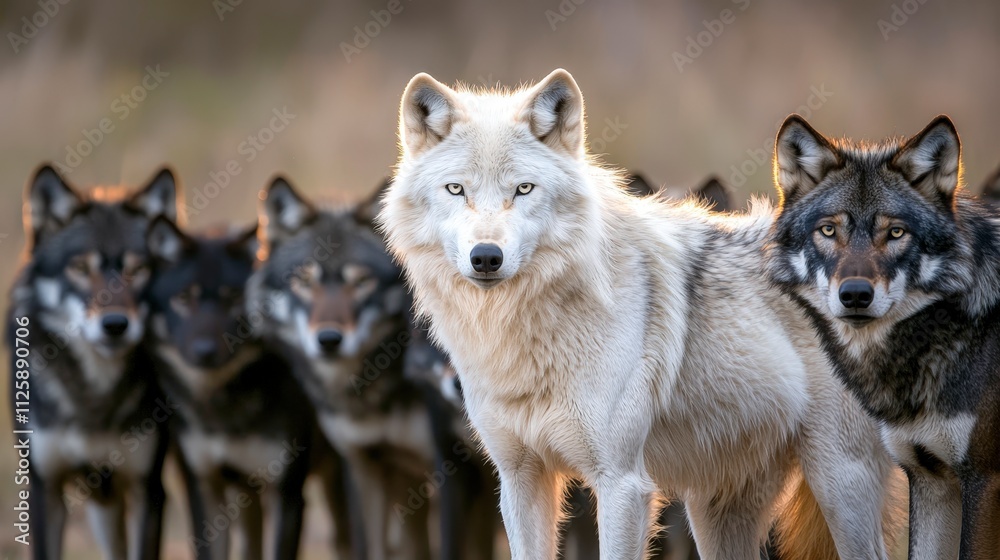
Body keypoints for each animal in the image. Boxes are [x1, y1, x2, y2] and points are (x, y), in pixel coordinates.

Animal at [7, 165, 178, 560]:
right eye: (81, 268)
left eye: (137, 269)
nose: (115, 325)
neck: (95, 398)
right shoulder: (45, 488)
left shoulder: (149, 488)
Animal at [379, 69, 903, 560]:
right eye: (456, 189)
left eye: (524, 189)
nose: (486, 257)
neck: (527, 335)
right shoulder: (519, 478)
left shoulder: (622, 483)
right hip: (715, 511)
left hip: (838, 482)